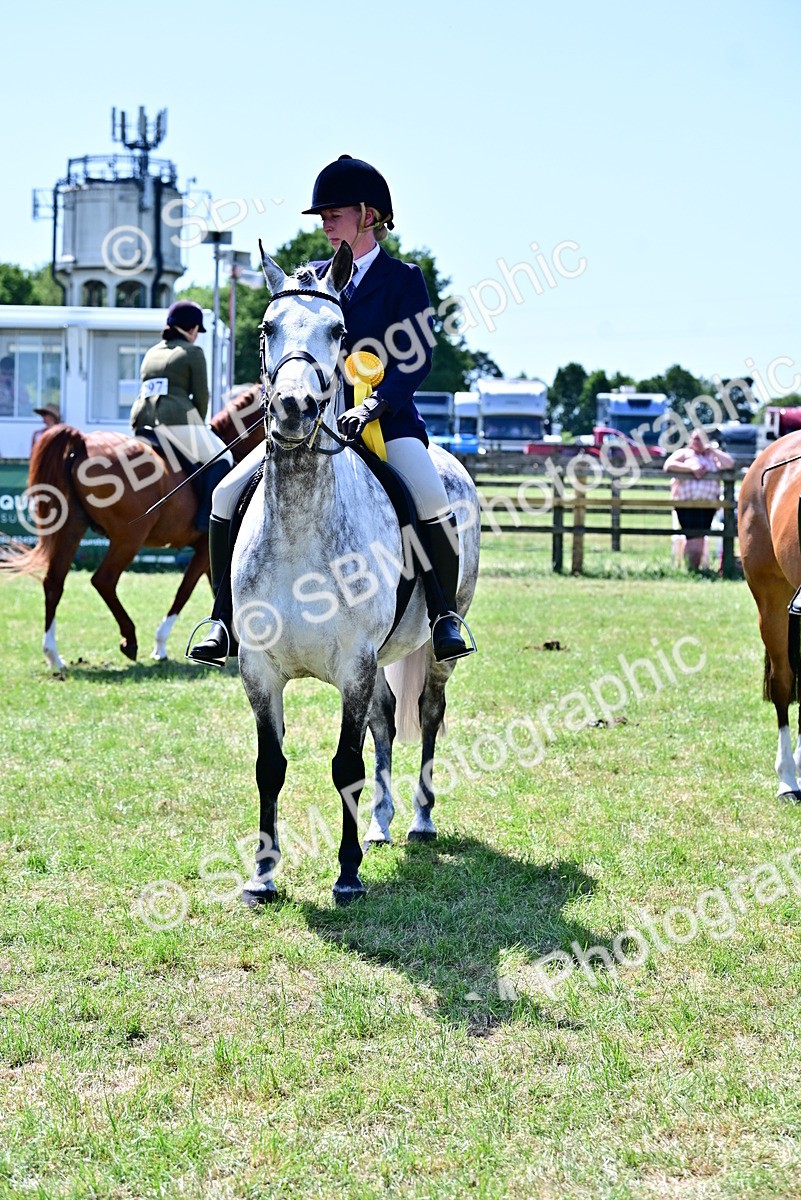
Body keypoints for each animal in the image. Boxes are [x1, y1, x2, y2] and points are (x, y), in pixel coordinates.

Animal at [1, 385, 264, 671]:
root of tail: (82, 442)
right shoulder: (205, 550)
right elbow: (186, 591)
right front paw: (161, 645)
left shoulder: (206, 552)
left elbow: (214, 588)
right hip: (129, 538)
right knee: (103, 580)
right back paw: (130, 640)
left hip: (71, 528)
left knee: (54, 582)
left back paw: (54, 656)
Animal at [232, 242, 480, 905]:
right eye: (266, 328)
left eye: (338, 331)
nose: (293, 409)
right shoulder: (260, 670)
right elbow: (271, 767)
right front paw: (262, 876)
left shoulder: (354, 665)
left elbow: (346, 766)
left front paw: (346, 876)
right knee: (387, 719)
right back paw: (381, 824)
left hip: (433, 645)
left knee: (427, 712)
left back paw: (419, 820)